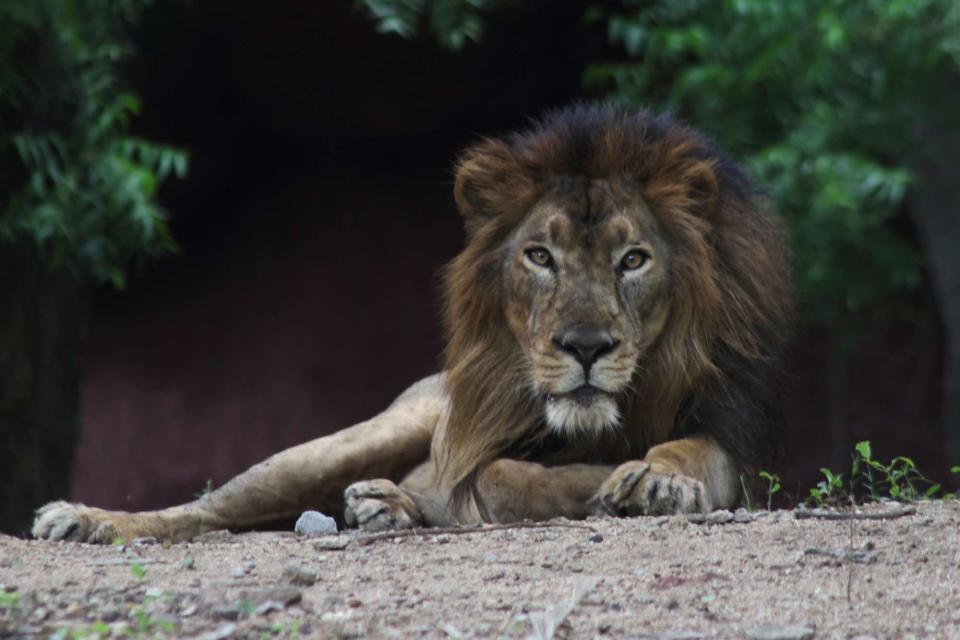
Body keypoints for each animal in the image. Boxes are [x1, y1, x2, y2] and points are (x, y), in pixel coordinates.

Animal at [31, 102, 796, 544]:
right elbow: (496, 476)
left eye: (633, 259)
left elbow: (690, 454)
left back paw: (385, 506)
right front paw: (603, 482)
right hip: (359, 436)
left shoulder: (736, 444)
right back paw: (82, 520)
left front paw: (655, 481)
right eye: (539, 256)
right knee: (207, 511)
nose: (584, 347)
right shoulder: (483, 454)